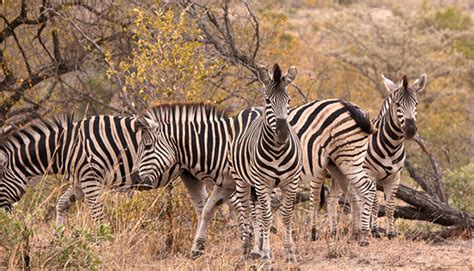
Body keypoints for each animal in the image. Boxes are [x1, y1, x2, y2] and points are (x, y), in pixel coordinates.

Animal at [229, 64, 302, 266]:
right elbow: (267, 218)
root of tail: (251, 109)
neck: (277, 151)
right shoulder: (262, 183)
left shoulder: (290, 182)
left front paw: (290, 254)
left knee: (258, 214)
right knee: (247, 212)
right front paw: (268, 258)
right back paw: (246, 251)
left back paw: (257, 250)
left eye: (289, 100)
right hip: (242, 181)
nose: (283, 134)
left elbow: (286, 216)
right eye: (268, 100)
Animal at [328, 73, 428, 239]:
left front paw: (391, 233)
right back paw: (333, 231)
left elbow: (390, 205)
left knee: (337, 197)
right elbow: (375, 203)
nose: (411, 130)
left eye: (417, 103)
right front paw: (374, 230)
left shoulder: (395, 177)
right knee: (332, 199)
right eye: (397, 104)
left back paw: (342, 231)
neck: (392, 147)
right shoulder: (371, 174)